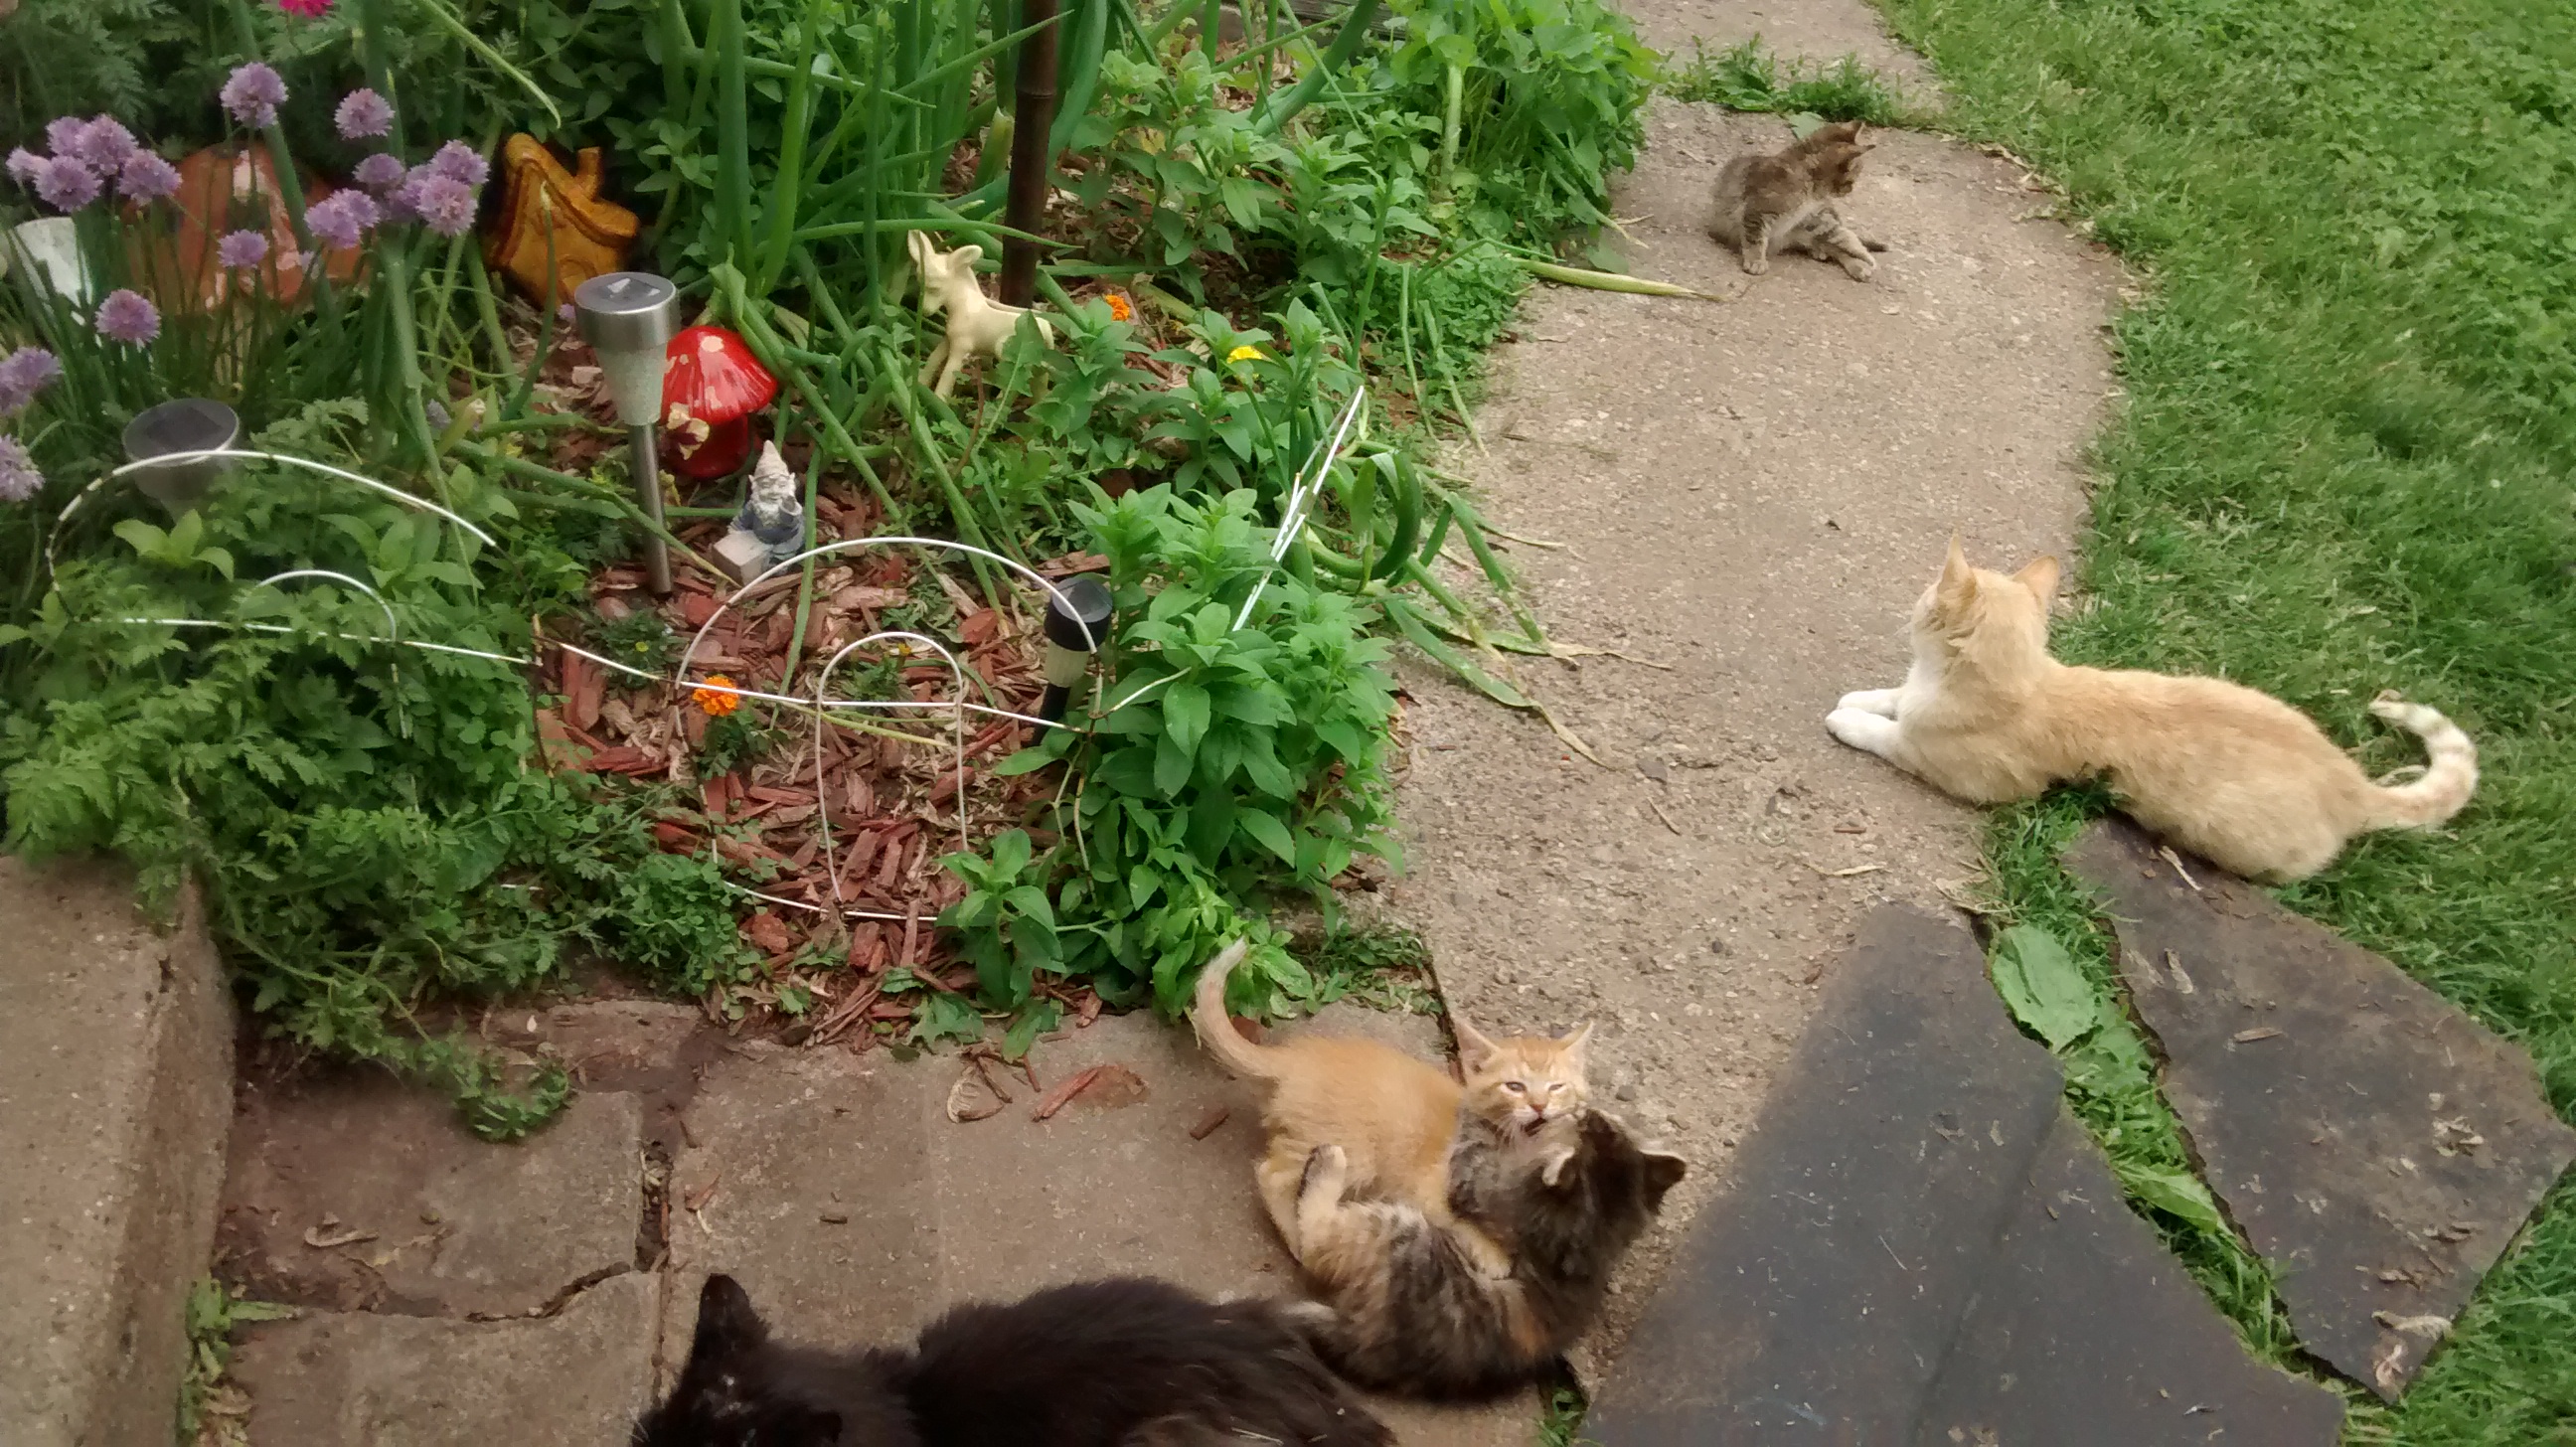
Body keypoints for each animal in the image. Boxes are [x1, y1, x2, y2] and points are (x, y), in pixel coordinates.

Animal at [1189, 939, 1592, 1275]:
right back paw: (1300, 1240)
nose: (1539, 1105)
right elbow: (1461, 1221)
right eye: (1514, 1087)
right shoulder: (1429, 1188)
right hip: (1351, 1149)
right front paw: (1494, 1254)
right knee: (1271, 1174)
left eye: (1557, 1087)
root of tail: (1298, 1056)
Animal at [1284, 1108, 1686, 1401]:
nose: (1579, 1110)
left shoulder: (1486, 1184)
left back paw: (1327, 1164)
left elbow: (1474, 1150)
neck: (1598, 1230)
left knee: (1315, 1241)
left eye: (1583, 1122)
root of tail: (1362, 1341)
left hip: (1399, 1230)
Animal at [1706, 119, 1885, 281]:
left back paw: (1857, 265)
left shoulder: (1812, 218)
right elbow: (1755, 239)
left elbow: (1847, 237)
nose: (1850, 190)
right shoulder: (1757, 211)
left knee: (1835, 244)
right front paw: (1756, 260)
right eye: (1852, 180)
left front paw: (1866, 257)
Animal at [1824, 538, 2478, 882]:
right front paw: (1865, 697)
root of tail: (2351, 780)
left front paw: (1849, 718)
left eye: (1923, 599)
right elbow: (1895, 696)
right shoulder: (1916, 692)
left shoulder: (1960, 772)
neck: (2025, 682)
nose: (1913, 603)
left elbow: (1892, 734)